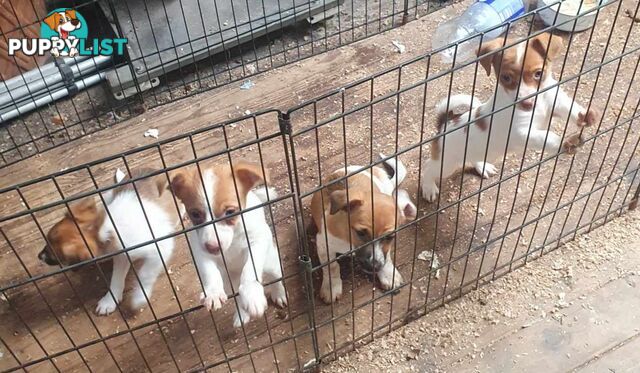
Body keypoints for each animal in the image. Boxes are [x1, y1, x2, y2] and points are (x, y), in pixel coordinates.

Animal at [37, 169, 180, 314]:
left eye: (54, 254)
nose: (39, 256)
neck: (104, 228)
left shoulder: (160, 248)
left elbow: (145, 274)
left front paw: (139, 298)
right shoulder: (122, 255)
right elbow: (116, 278)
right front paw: (109, 300)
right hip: (108, 196)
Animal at [171, 162, 288, 326]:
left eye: (230, 212)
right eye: (195, 214)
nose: (213, 247)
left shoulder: (257, 240)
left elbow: (250, 268)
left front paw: (251, 292)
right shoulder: (199, 250)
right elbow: (209, 271)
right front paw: (213, 292)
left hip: (271, 264)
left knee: (276, 278)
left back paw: (279, 294)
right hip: (229, 282)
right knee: (237, 295)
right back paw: (242, 313)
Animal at [312, 154, 420, 302]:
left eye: (390, 237)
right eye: (360, 233)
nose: (373, 266)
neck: (349, 240)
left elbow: (387, 257)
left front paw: (388, 274)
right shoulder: (323, 243)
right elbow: (332, 266)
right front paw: (331, 287)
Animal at [420, 32, 600, 202]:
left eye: (538, 73)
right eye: (506, 78)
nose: (527, 103)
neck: (539, 106)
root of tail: (445, 124)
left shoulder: (555, 102)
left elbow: (570, 108)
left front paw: (586, 115)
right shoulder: (521, 133)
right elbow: (546, 137)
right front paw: (566, 142)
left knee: (472, 158)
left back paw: (482, 166)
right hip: (446, 163)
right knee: (428, 168)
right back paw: (428, 188)